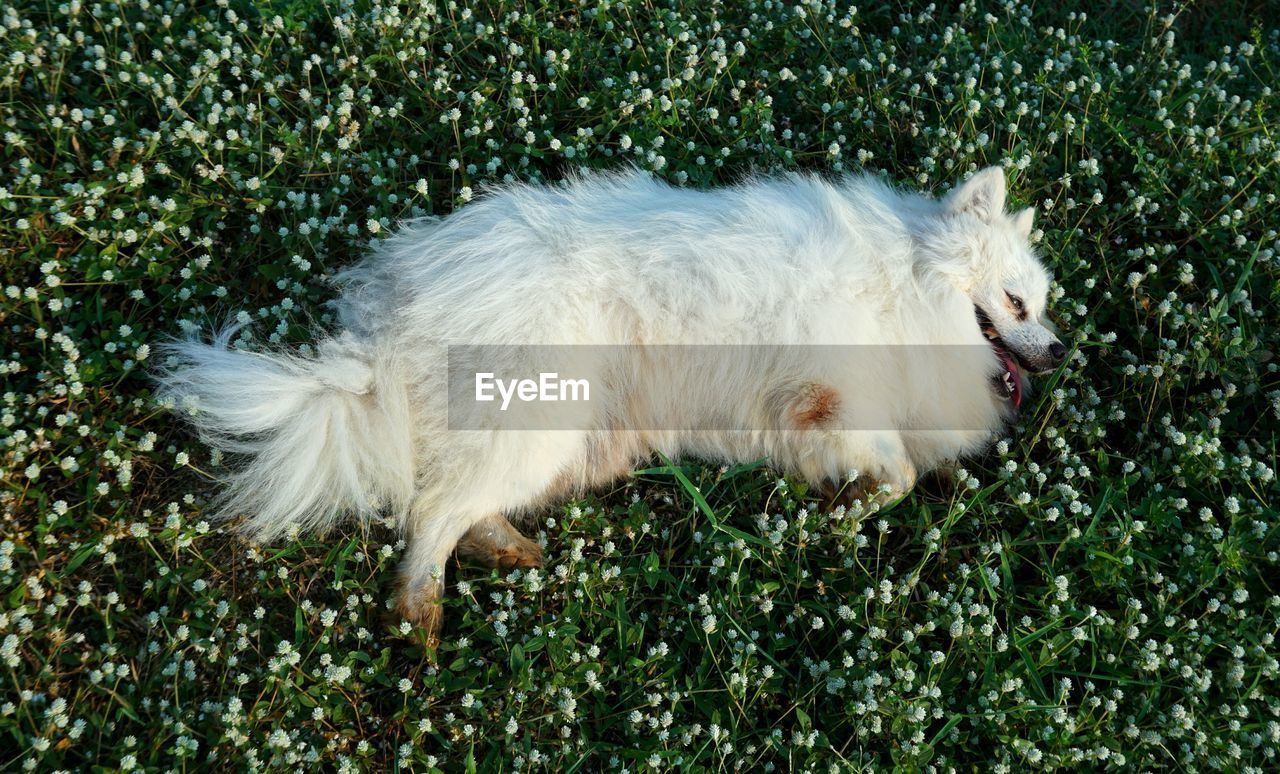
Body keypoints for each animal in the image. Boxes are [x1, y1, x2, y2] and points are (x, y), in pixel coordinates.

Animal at [160, 165, 1064, 639]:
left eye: (1045, 307)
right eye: (1017, 303)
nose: (1059, 349)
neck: (905, 288)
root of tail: (394, 315)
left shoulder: (818, 418)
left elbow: (887, 472)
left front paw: (846, 506)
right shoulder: (834, 396)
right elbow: (898, 471)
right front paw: (856, 509)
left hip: (566, 439)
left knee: (452, 500)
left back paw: (503, 548)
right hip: (539, 420)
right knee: (430, 514)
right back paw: (421, 613)